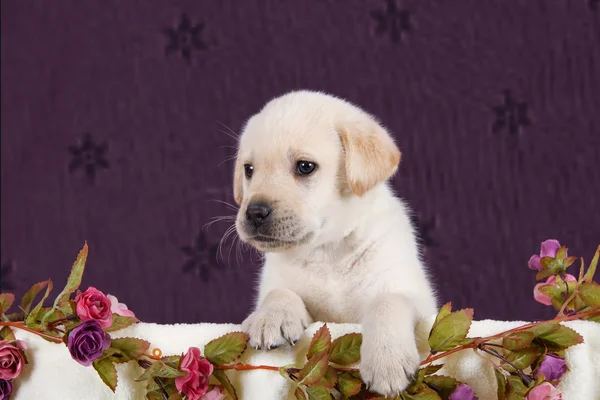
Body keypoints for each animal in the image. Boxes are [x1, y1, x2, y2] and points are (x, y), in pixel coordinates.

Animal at [233, 90, 436, 396]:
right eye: (249, 170)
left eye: (305, 167)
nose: (254, 212)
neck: (326, 253)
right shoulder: (279, 285)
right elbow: (279, 292)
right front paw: (272, 316)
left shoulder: (419, 300)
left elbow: (387, 301)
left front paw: (387, 359)